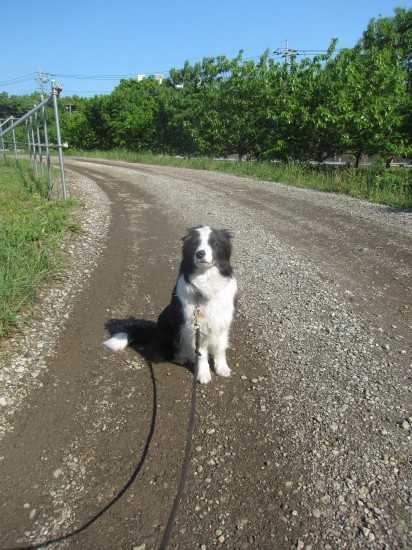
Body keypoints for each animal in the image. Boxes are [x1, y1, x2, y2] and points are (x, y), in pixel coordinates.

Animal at [103, 226, 237, 386]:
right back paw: (181, 357)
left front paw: (222, 368)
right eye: (195, 243)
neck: (206, 281)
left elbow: (220, 348)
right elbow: (201, 354)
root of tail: (155, 332)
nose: (200, 253)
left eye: (214, 243)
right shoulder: (193, 326)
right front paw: (203, 374)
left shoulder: (222, 322)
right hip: (167, 326)